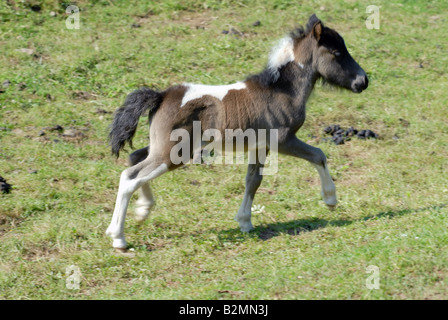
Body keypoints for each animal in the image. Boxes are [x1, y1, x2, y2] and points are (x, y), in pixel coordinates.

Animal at [106, 14, 368, 250]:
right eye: (336, 53)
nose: (363, 81)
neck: (281, 91)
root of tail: (160, 96)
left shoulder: (260, 146)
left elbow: (253, 181)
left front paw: (245, 222)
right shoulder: (283, 141)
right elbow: (319, 155)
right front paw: (331, 199)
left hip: (163, 147)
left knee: (134, 158)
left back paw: (142, 211)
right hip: (173, 153)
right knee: (130, 177)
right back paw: (119, 238)